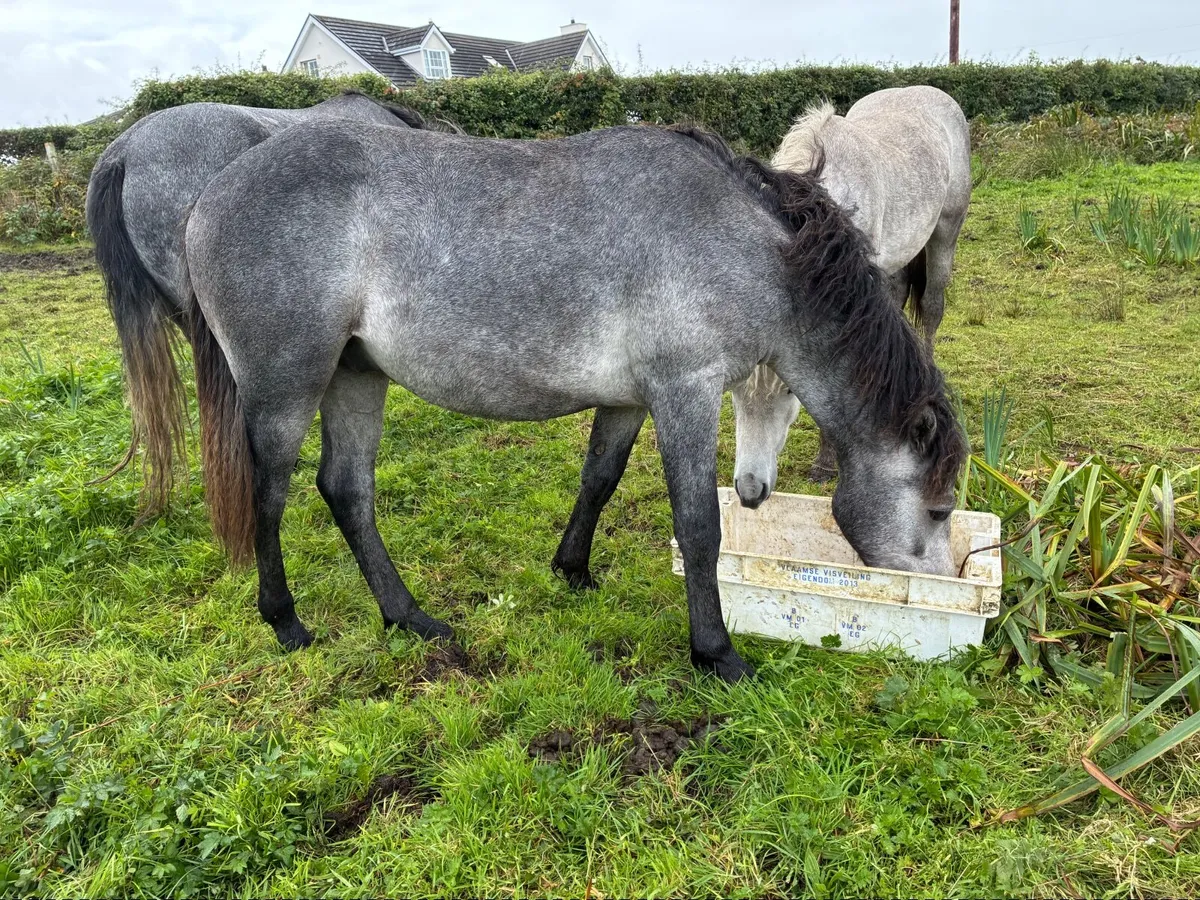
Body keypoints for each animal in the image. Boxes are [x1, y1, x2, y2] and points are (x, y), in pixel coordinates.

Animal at [162, 121, 966, 682]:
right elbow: (698, 526)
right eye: (937, 511)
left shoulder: (632, 400)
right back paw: (285, 622)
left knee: (346, 490)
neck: (748, 247)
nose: (939, 589)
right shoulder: (686, 391)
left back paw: (410, 617)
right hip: (287, 386)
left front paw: (572, 570)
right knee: (270, 494)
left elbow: (599, 479)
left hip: (356, 376)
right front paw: (715, 653)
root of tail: (206, 199)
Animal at [730, 85, 972, 505]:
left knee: (931, 308)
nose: (749, 490)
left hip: (945, 233)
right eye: (733, 388)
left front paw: (826, 464)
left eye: (791, 389)